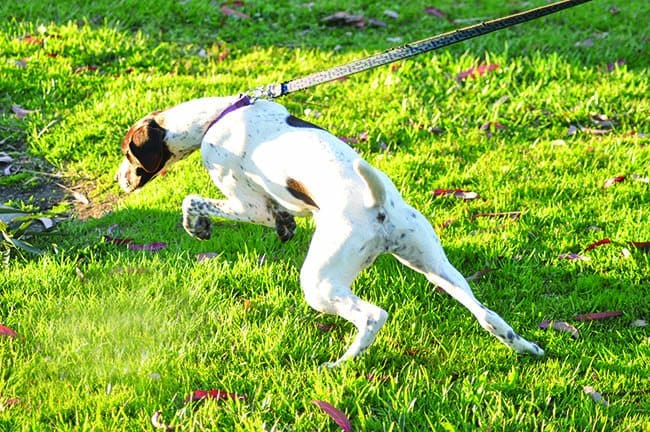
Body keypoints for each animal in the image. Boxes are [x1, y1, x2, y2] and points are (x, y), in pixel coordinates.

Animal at [116, 96, 540, 366]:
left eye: (126, 154)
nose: (118, 180)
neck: (216, 117)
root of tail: (377, 205)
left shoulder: (247, 205)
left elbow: (191, 201)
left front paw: (198, 226)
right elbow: (280, 215)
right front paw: (285, 225)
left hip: (320, 283)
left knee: (373, 316)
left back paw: (340, 366)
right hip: (434, 266)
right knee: (487, 315)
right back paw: (526, 347)